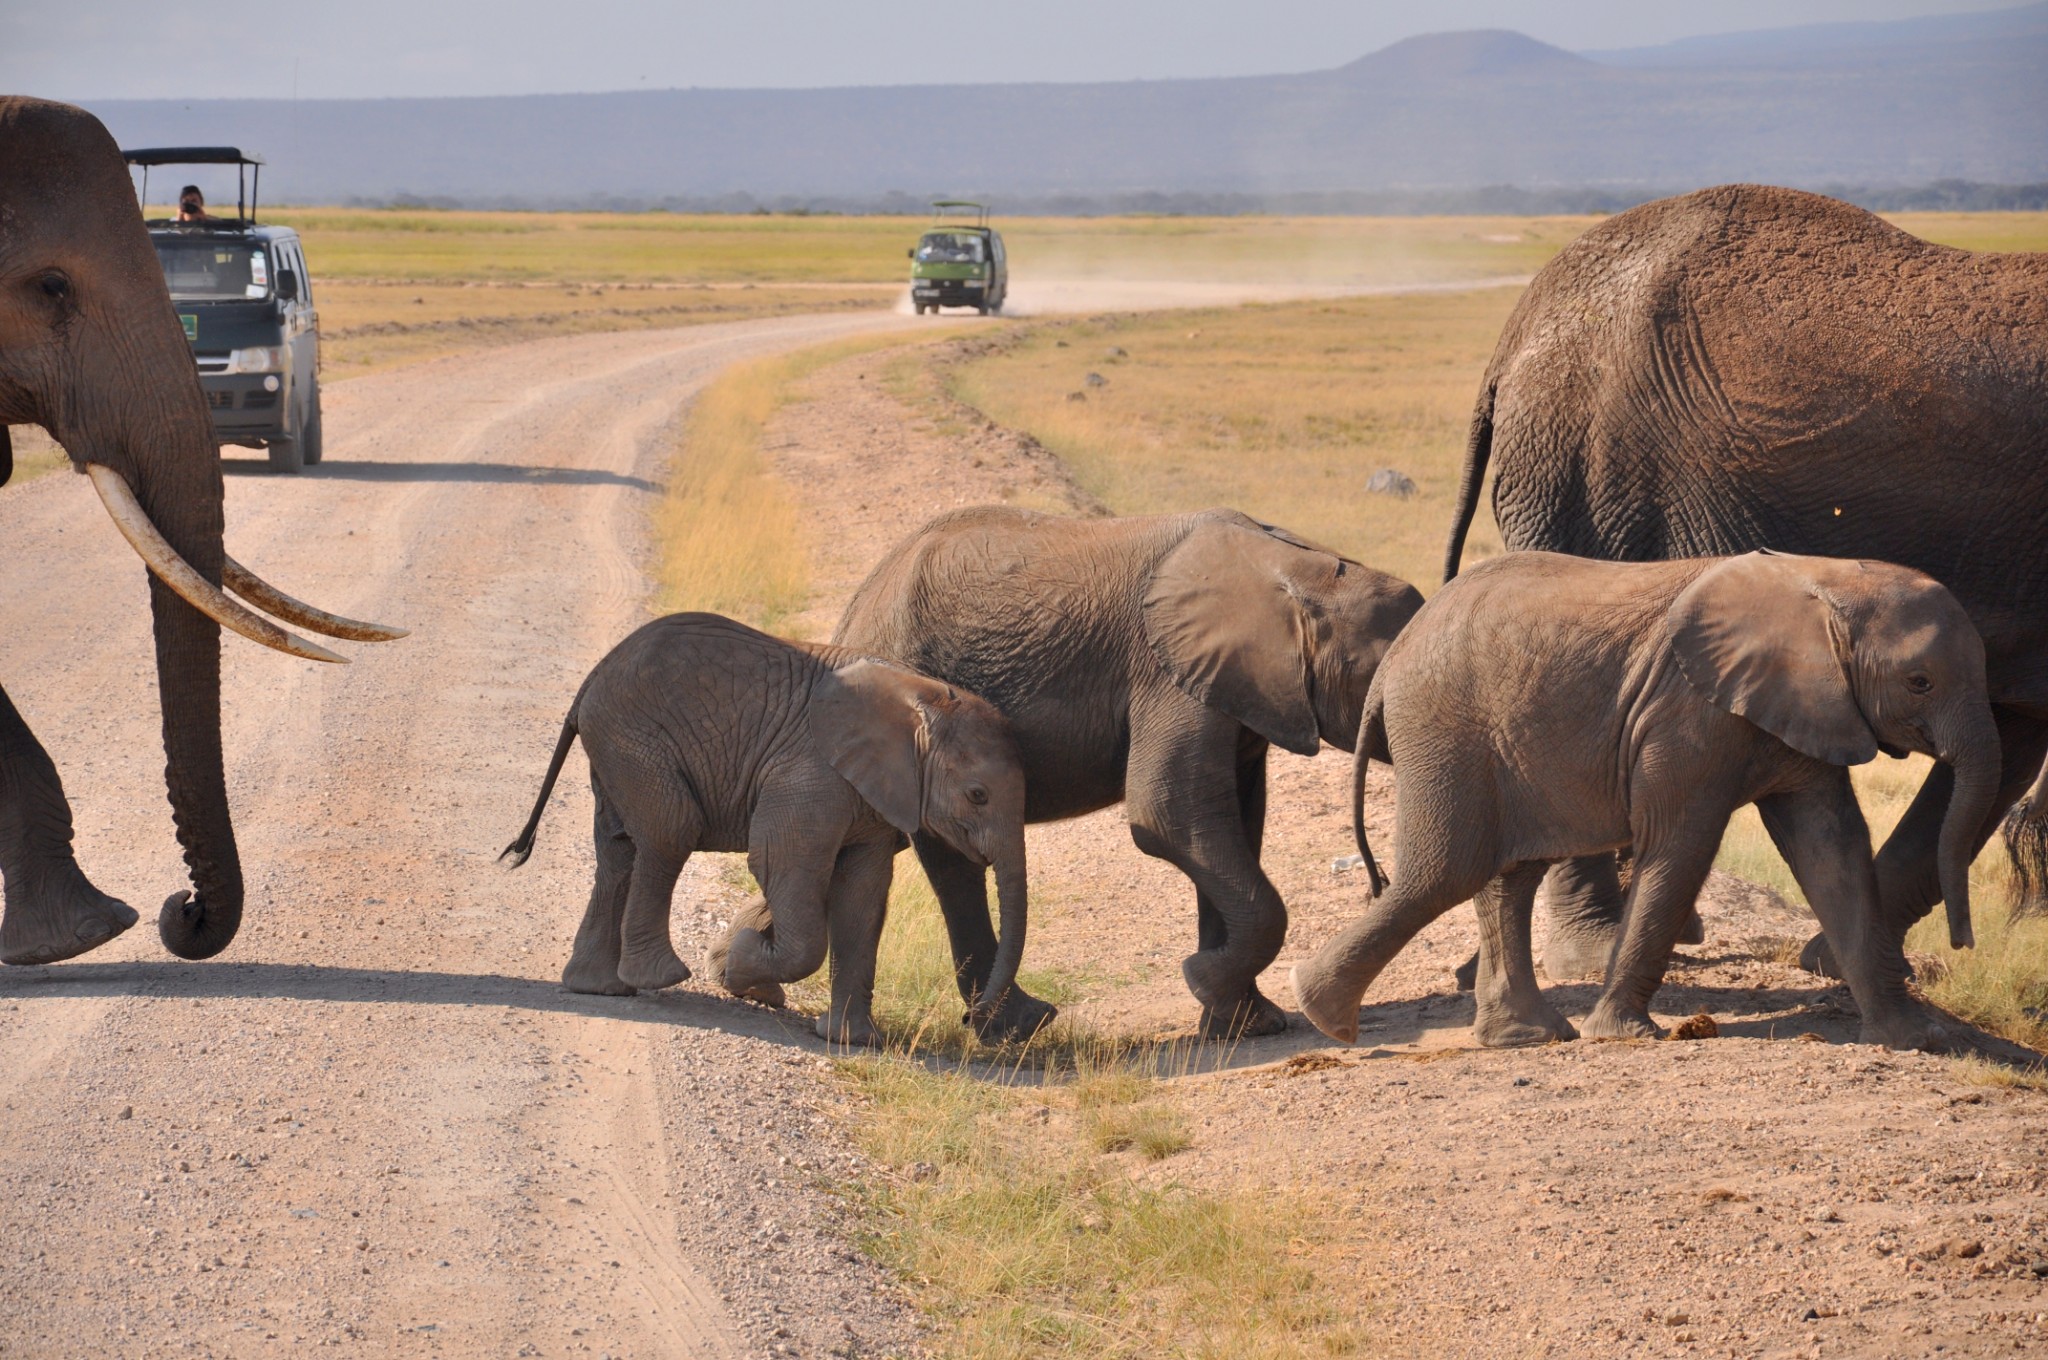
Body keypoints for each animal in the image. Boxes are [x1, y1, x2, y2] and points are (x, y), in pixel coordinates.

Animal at [503, 610, 1032, 1044]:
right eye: (978, 795)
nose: (970, 1020)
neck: (921, 693)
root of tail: (594, 675)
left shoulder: (876, 794)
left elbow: (863, 893)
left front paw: (853, 1041)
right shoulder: (810, 772)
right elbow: (781, 865)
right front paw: (739, 964)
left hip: (615, 747)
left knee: (617, 850)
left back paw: (600, 989)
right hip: (633, 740)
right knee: (670, 833)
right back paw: (661, 977)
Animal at [831, 503, 1425, 1036]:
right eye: (1376, 674)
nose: (1376, 883)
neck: (1300, 569)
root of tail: (855, 608)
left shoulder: (1236, 687)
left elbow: (1235, 822)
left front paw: (1245, 1025)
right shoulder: (1167, 673)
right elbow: (1171, 816)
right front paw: (1205, 982)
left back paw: (1009, 1025)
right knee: (953, 862)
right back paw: (1016, 1030)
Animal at [1294, 548, 1998, 1048]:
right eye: (1920, 682)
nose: (1965, 944)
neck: (1819, 579)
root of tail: (1394, 659)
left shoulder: (1812, 709)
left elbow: (1834, 851)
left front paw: (1917, 1040)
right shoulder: (1685, 714)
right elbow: (1681, 845)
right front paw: (1622, 1035)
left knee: (1506, 877)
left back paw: (1524, 1038)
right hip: (1446, 731)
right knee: (1444, 873)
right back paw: (1322, 1013)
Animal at [1441, 186, 2048, 983]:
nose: (1966, 946)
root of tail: (1517, 332)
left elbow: (2014, 735)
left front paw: (1836, 963)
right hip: (1588, 479)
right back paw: (1595, 950)